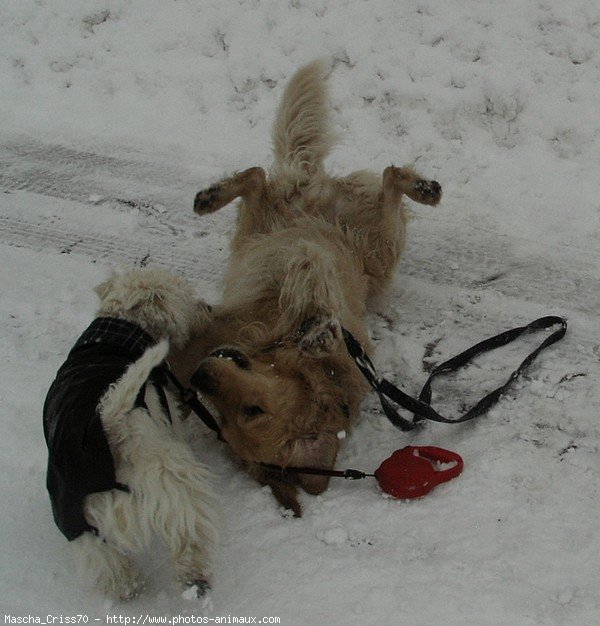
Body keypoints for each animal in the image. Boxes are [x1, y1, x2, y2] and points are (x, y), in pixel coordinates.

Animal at [43, 268, 220, 600]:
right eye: (187, 293)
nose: (208, 308)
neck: (119, 327)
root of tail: (102, 429)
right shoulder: (169, 416)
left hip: (78, 523)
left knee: (109, 566)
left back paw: (129, 589)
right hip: (169, 475)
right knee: (185, 527)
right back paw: (195, 578)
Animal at [173, 61, 440, 516]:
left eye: (252, 411)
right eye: (222, 419)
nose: (201, 374)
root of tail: (312, 195)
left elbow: (312, 280)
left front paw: (314, 317)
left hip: (379, 247)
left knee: (385, 178)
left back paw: (426, 189)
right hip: (264, 228)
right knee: (258, 177)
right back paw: (209, 197)